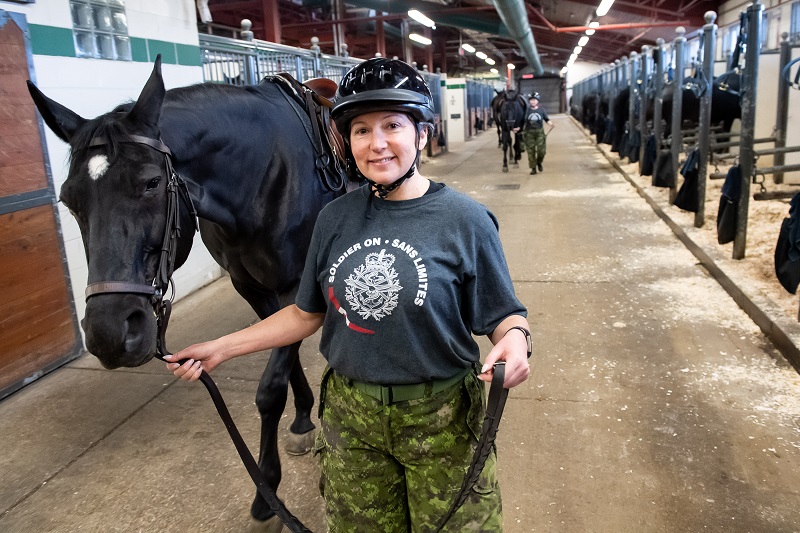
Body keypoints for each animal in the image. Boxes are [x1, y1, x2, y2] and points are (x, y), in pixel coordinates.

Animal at [27, 56, 354, 530]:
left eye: (150, 183)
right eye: (69, 199)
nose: (110, 334)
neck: (264, 173)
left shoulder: (295, 286)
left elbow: (270, 387)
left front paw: (266, 496)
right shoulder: (252, 287)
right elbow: (284, 356)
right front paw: (302, 421)